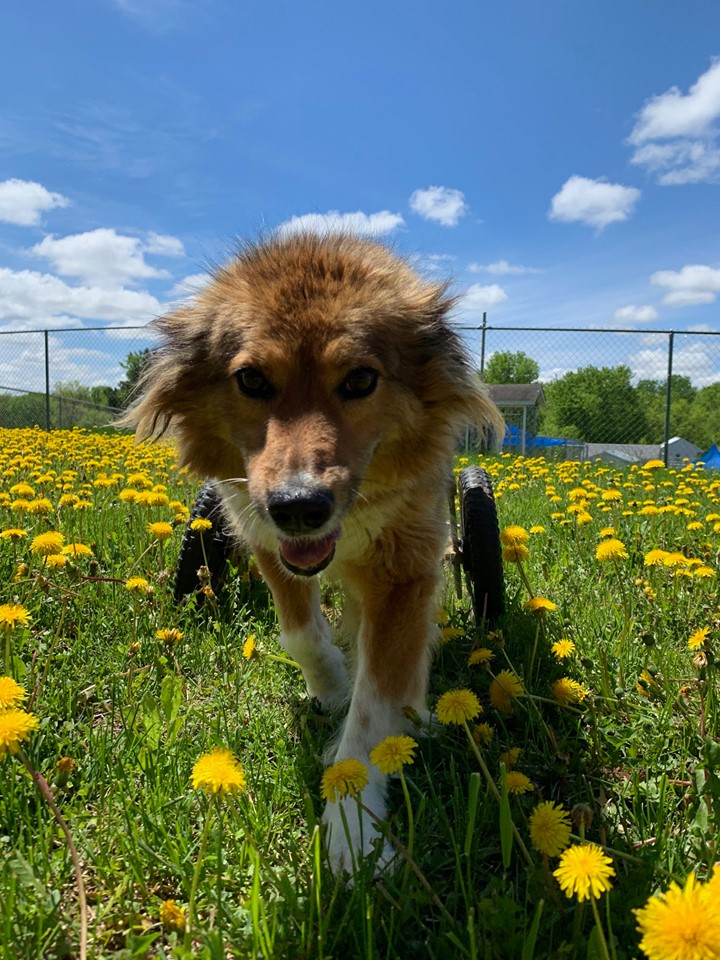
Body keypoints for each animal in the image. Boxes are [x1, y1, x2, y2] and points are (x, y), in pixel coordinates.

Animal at [122, 231, 500, 872]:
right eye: (251, 380)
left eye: (360, 380)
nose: (299, 507)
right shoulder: (263, 534)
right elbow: (301, 635)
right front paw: (332, 687)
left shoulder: (406, 569)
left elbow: (375, 708)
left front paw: (354, 825)